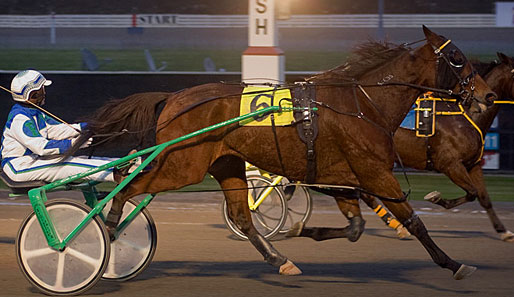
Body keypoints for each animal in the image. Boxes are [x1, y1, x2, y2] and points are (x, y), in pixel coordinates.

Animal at [70, 26, 494, 278]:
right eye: (457, 58)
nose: (488, 96)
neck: (363, 103)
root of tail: (174, 97)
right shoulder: (374, 173)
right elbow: (414, 221)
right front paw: (453, 263)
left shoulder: (342, 177)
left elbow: (356, 227)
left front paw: (301, 228)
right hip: (181, 164)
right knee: (126, 183)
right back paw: (107, 230)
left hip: (225, 164)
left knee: (241, 216)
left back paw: (279, 259)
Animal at [392, 52, 512, 240]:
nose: (490, 96)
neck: (465, 115)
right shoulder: (451, 165)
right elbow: (472, 193)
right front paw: (436, 198)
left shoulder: (473, 165)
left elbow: (483, 197)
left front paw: (503, 231)